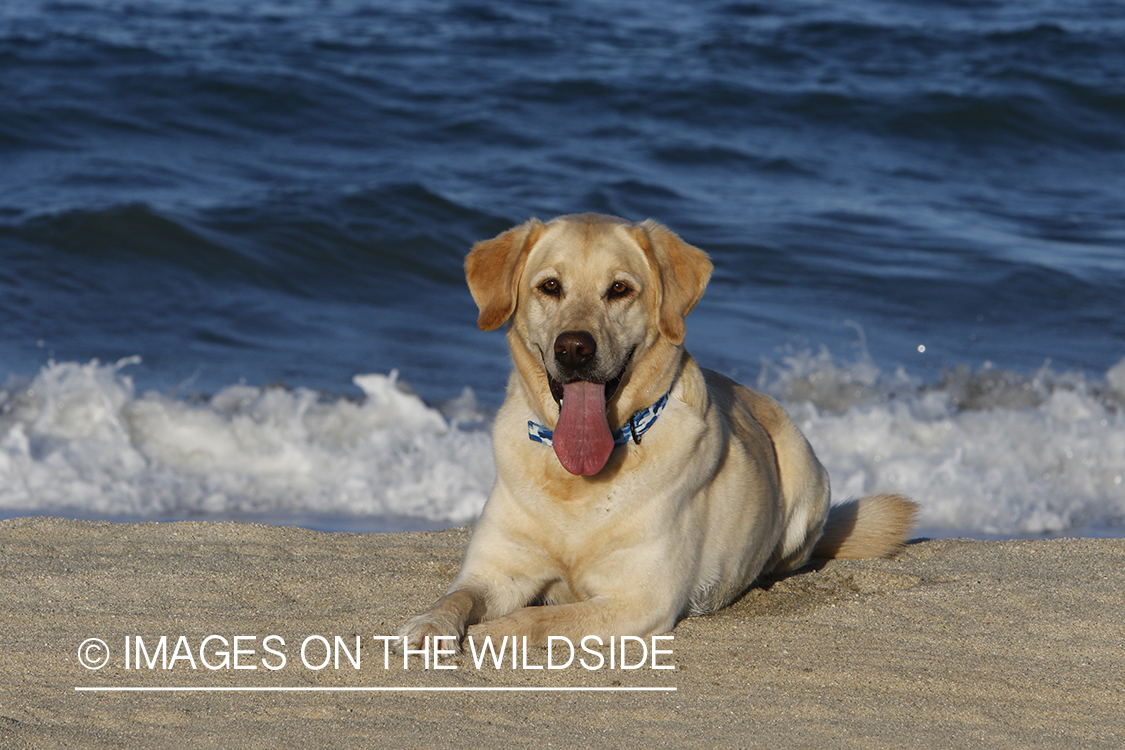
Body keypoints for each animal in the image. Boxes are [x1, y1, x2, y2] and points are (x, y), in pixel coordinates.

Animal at [400, 213, 918, 647]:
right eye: (550, 286)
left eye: (619, 289)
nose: (574, 348)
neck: (576, 483)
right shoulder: (495, 572)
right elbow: (455, 597)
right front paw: (429, 624)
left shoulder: (639, 600)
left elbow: (534, 619)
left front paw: (491, 634)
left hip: (807, 483)